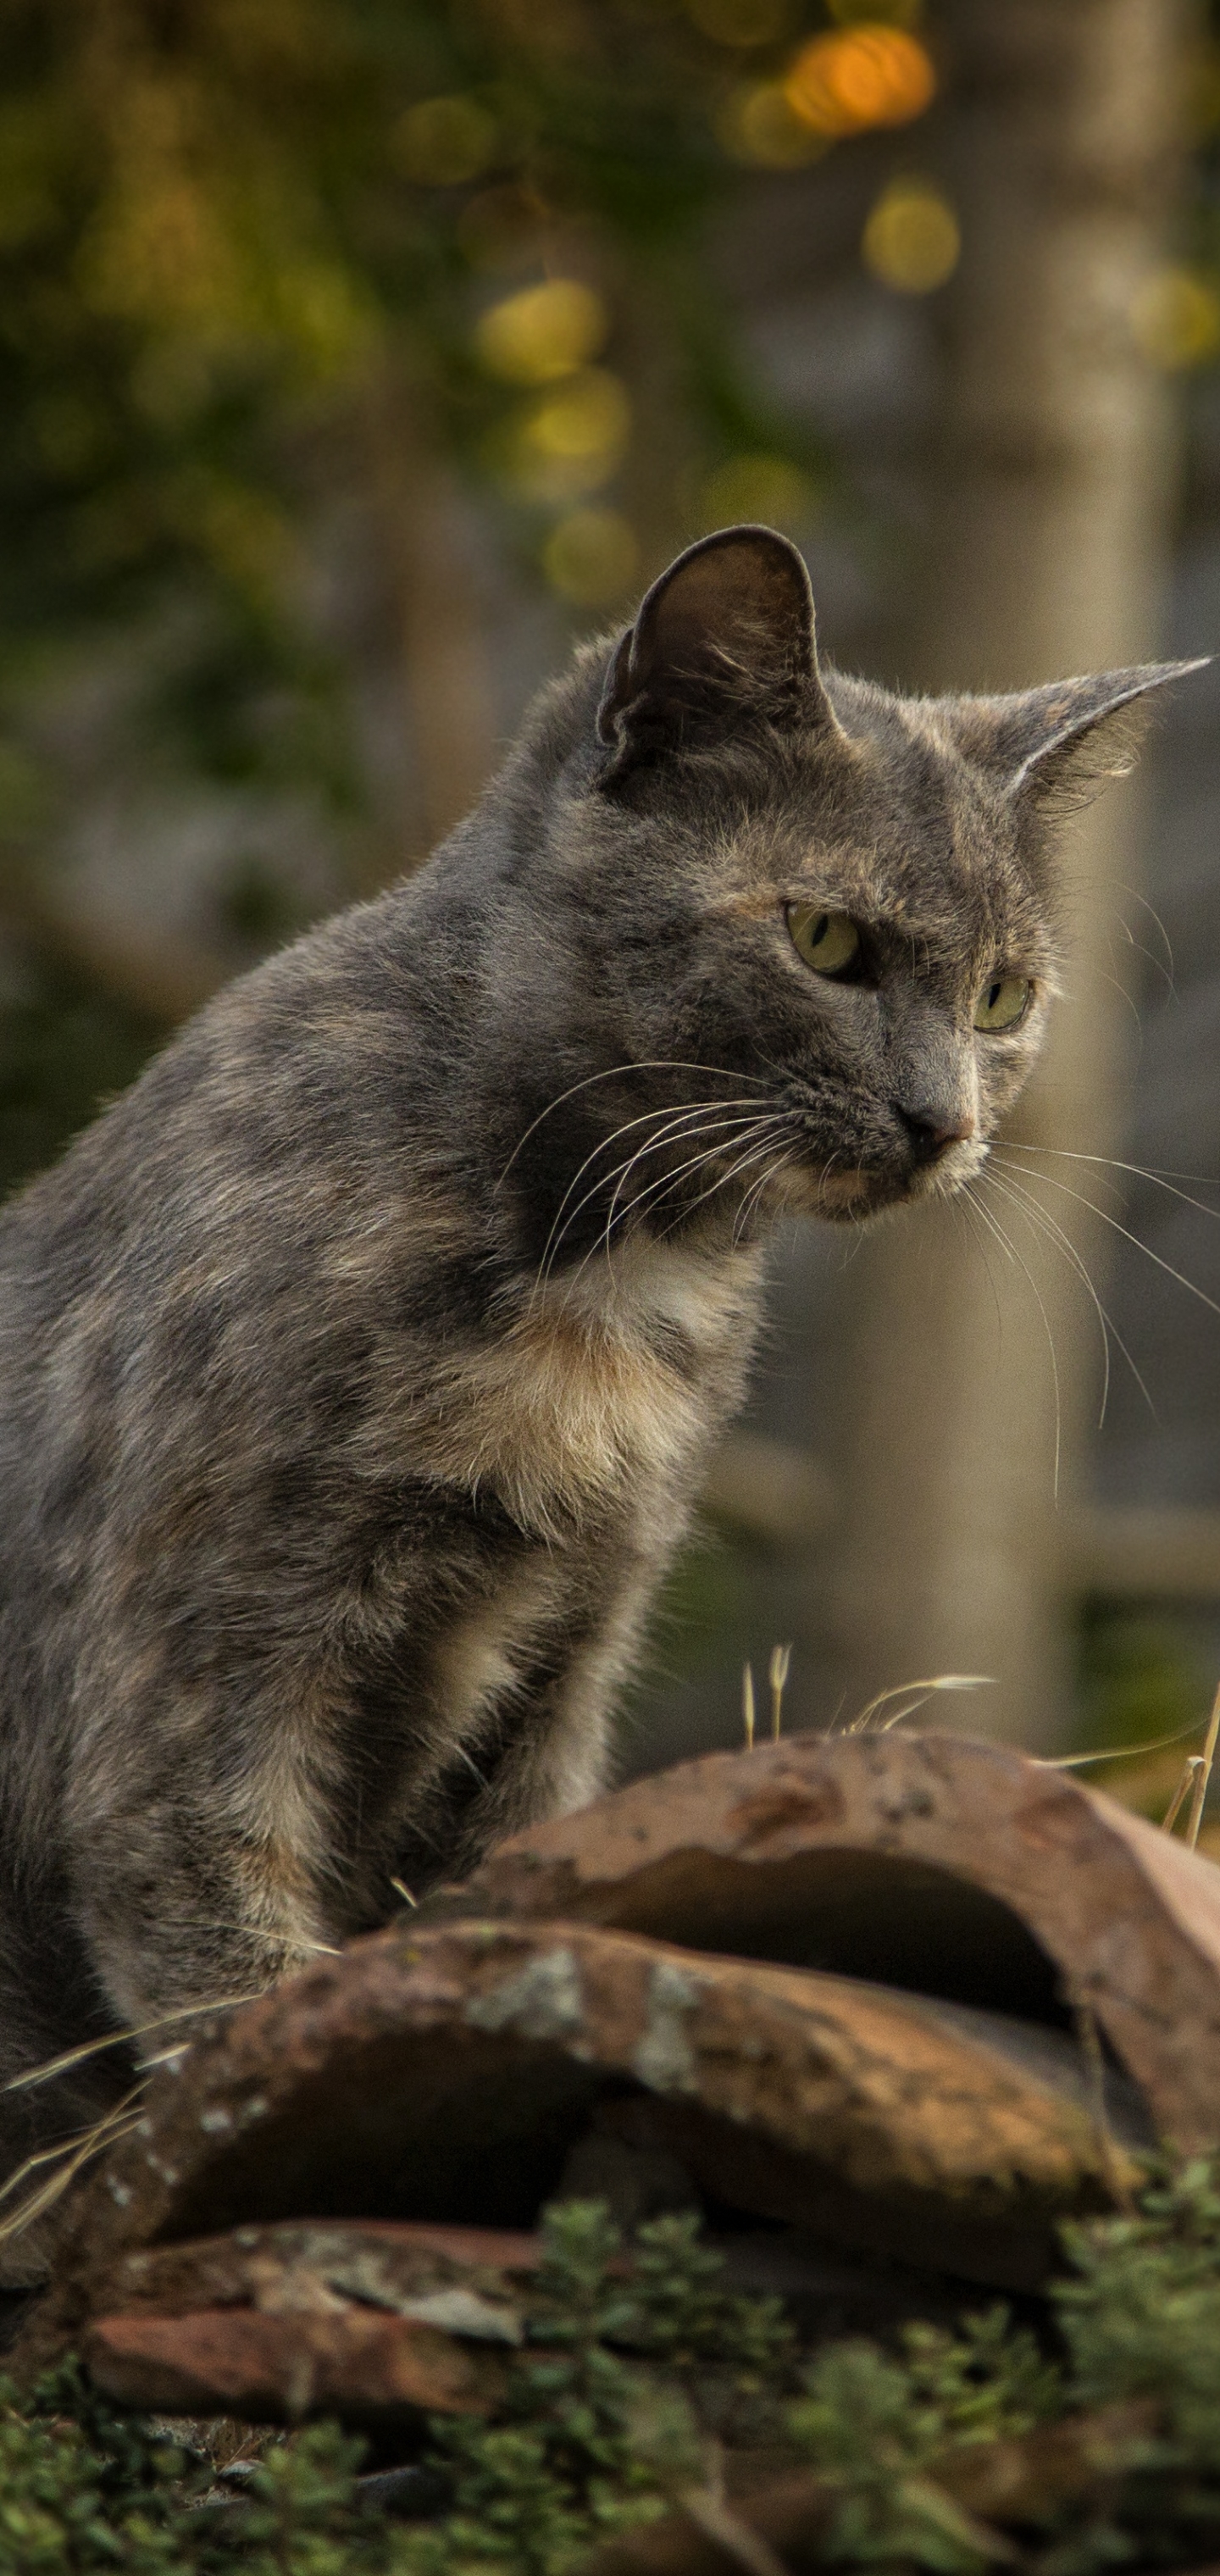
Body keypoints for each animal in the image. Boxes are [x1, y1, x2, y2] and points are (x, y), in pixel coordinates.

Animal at [0, 518, 1199, 2257]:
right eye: (825, 940)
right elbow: (218, 1952)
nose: (944, 1123)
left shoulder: (564, 1655)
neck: (608, 1276)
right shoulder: (197, 1663)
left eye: (1000, 996)